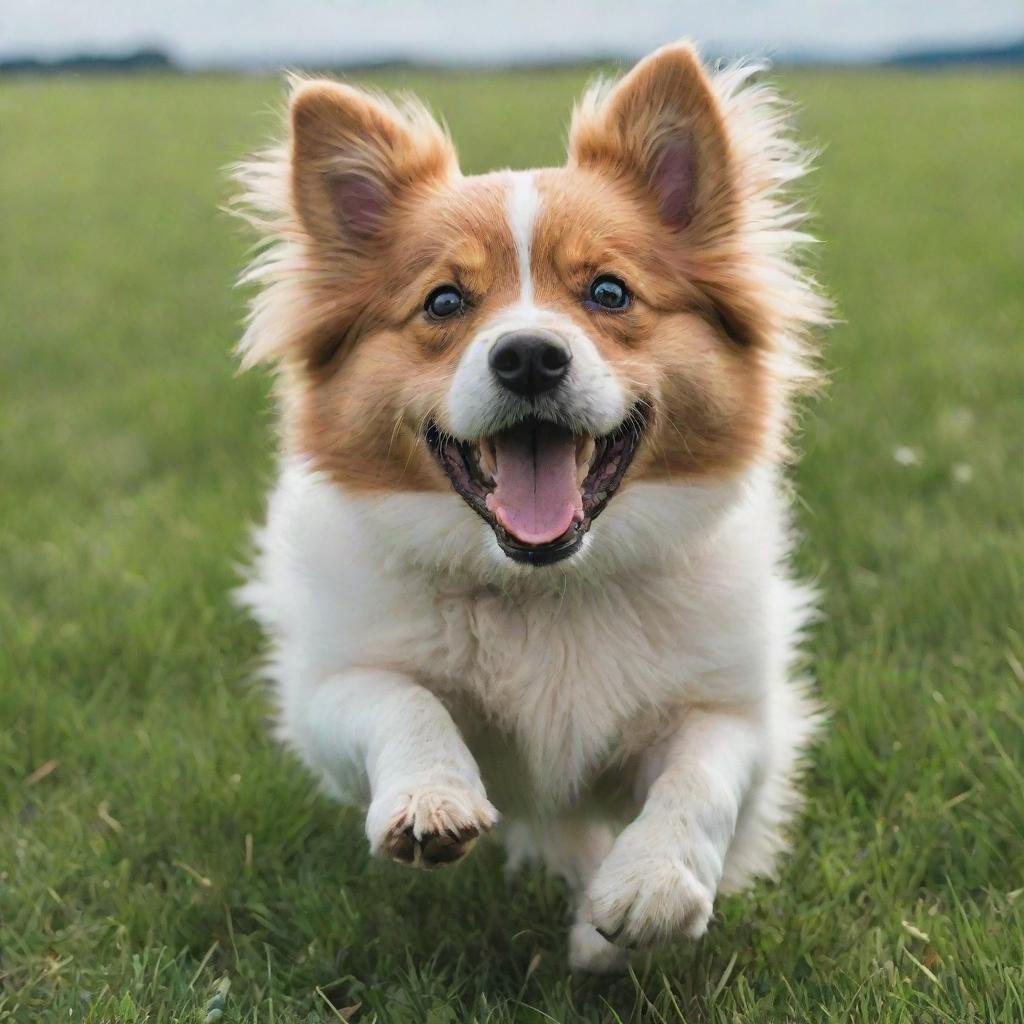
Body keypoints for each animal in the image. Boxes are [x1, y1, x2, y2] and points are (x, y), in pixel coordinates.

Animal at [230, 37, 823, 966]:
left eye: (610, 292)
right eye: (443, 301)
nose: (530, 358)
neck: (548, 589)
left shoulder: (739, 712)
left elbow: (702, 777)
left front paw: (648, 890)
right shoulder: (329, 689)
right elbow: (400, 699)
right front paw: (430, 797)